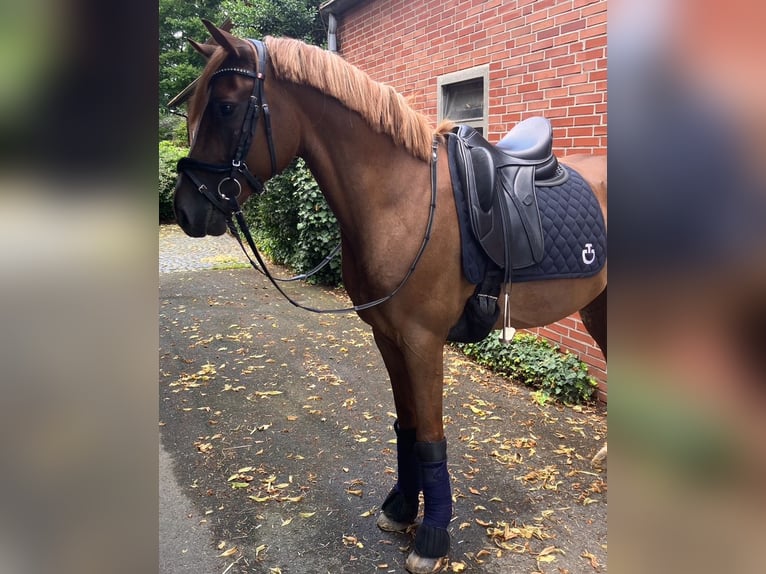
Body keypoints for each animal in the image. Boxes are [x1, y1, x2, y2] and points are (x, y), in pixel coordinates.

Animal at [172, 20, 608, 572]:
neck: (401, 200)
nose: (184, 209)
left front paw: (433, 538)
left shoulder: (423, 342)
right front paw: (402, 509)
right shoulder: (387, 337)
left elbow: (430, 438)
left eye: (226, 107)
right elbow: (406, 428)